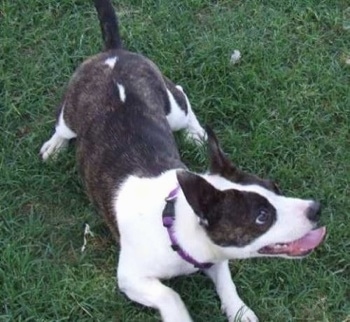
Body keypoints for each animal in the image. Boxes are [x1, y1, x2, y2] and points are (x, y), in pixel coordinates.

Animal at [39, 1, 326, 320]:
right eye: (262, 216)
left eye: (275, 187)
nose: (316, 209)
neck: (176, 225)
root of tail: (113, 54)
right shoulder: (131, 278)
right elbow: (171, 295)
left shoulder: (216, 255)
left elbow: (227, 283)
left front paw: (239, 310)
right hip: (70, 116)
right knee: (63, 127)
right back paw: (54, 146)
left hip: (171, 109)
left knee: (182, 97)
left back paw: (197, 134)